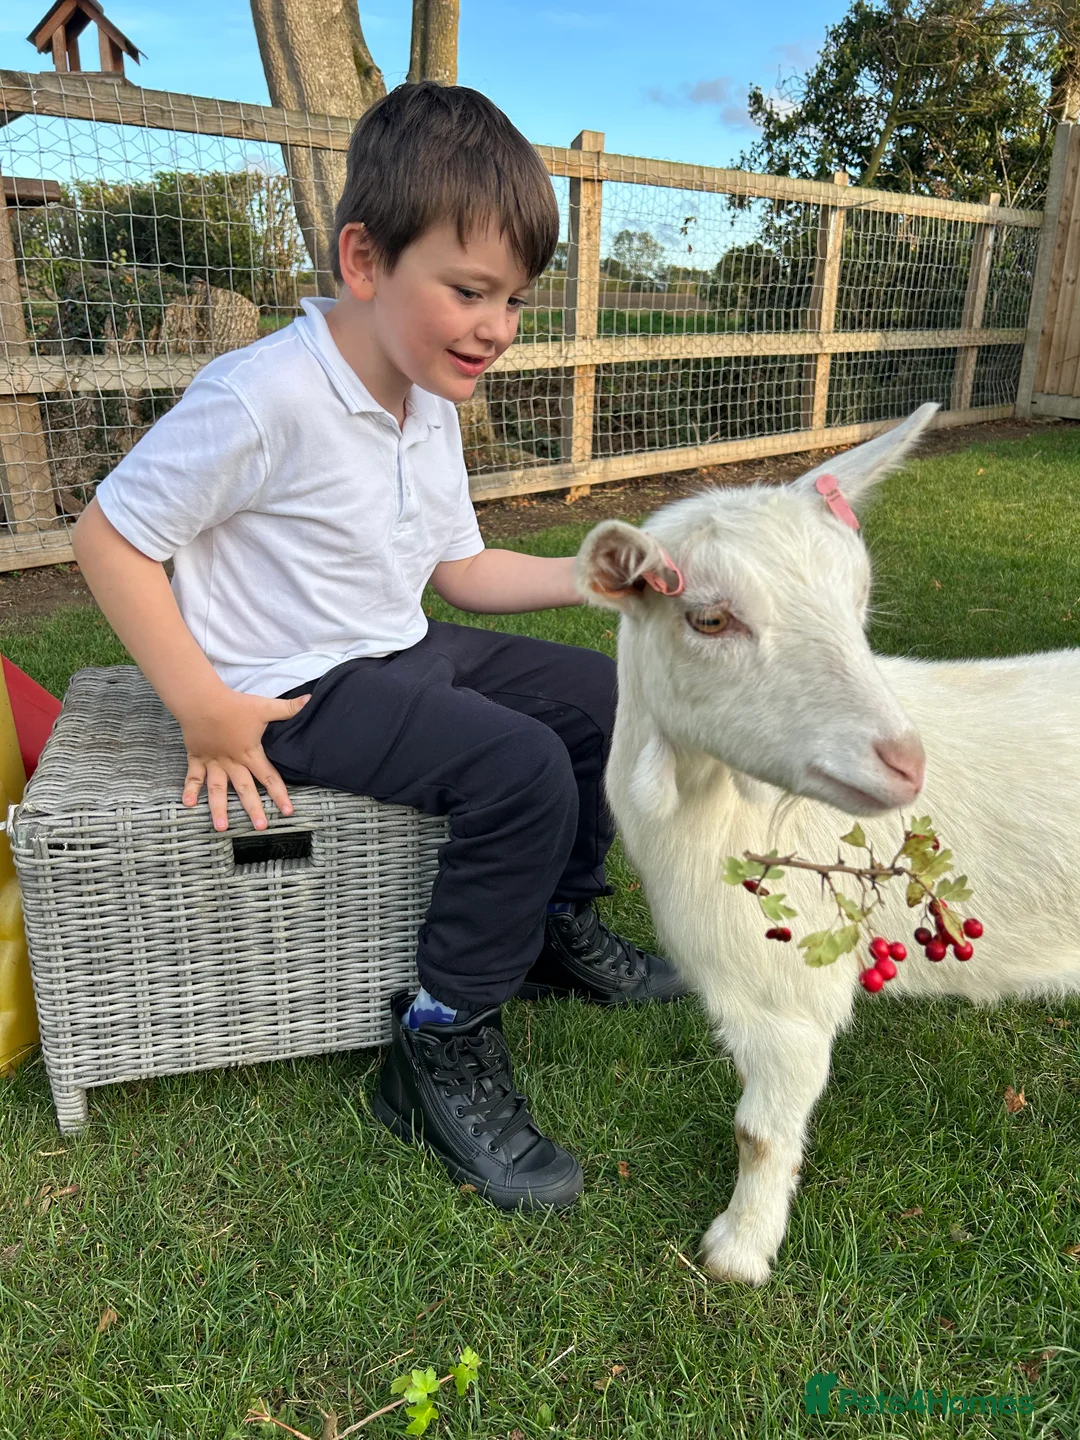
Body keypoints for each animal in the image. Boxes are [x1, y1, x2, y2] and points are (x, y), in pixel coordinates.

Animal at [576, 403, 1080, 1285]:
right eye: (709, 617)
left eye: (859, 600)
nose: (905, 762)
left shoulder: (790, 997)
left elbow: (758, 1131)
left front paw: (739, 1251)